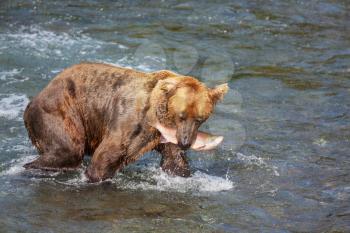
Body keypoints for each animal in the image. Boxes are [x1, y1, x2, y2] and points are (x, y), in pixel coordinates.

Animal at [23, 63, 228, 182]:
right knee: (67, 150)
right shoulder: (129, 122)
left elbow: (174, 162)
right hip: (61, 110)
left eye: (199, 119)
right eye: (182, 115)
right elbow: (104, 158)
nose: (185, 142)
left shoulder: (168, 135)